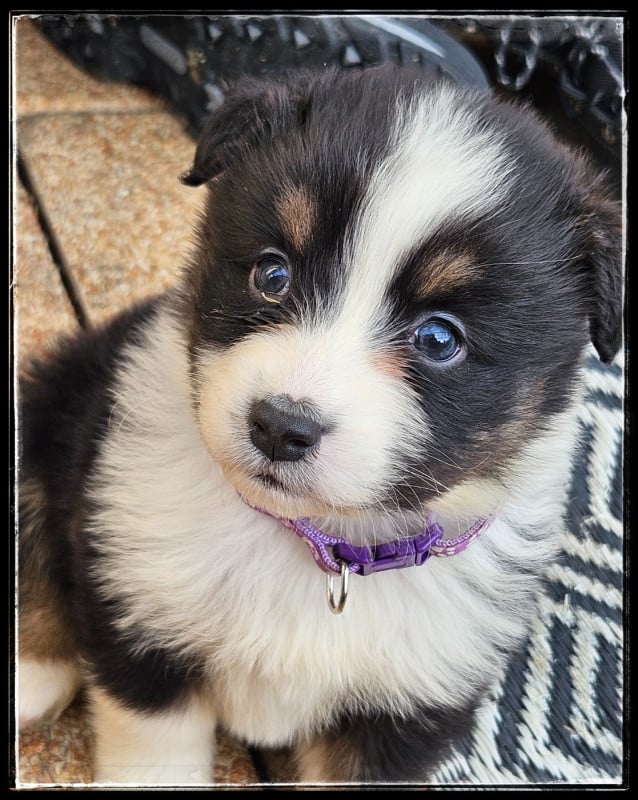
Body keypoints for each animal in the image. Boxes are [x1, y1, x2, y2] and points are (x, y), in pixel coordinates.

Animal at [16, 65, 622, 785]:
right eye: (272, 273)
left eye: (440, 339)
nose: (280, 427)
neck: (320, 546)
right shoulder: (140, 601)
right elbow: (155, 753)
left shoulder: (408, 709)